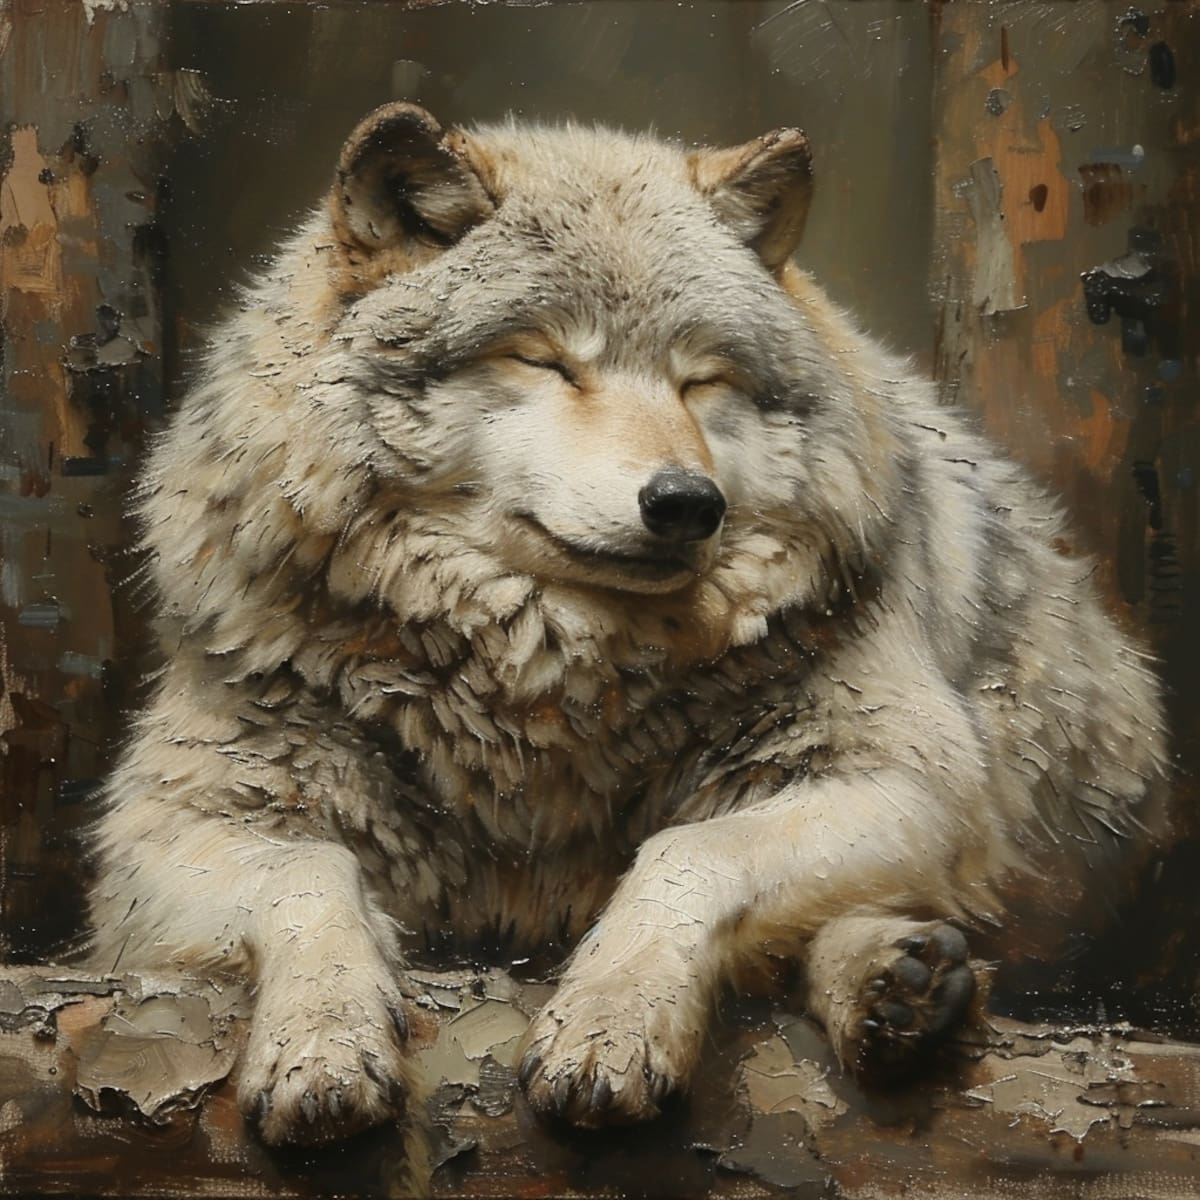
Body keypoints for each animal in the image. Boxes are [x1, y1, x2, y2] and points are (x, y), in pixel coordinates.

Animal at [89, 103, 1169, 1146]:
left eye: (703, 380)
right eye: (544, 359)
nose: (686, 502)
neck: (540, 690)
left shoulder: (916, 777)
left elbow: (690, 854)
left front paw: (607, 1027)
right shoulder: (159, 836)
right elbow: (310, 873)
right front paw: (320, 1050)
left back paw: (894, 987)